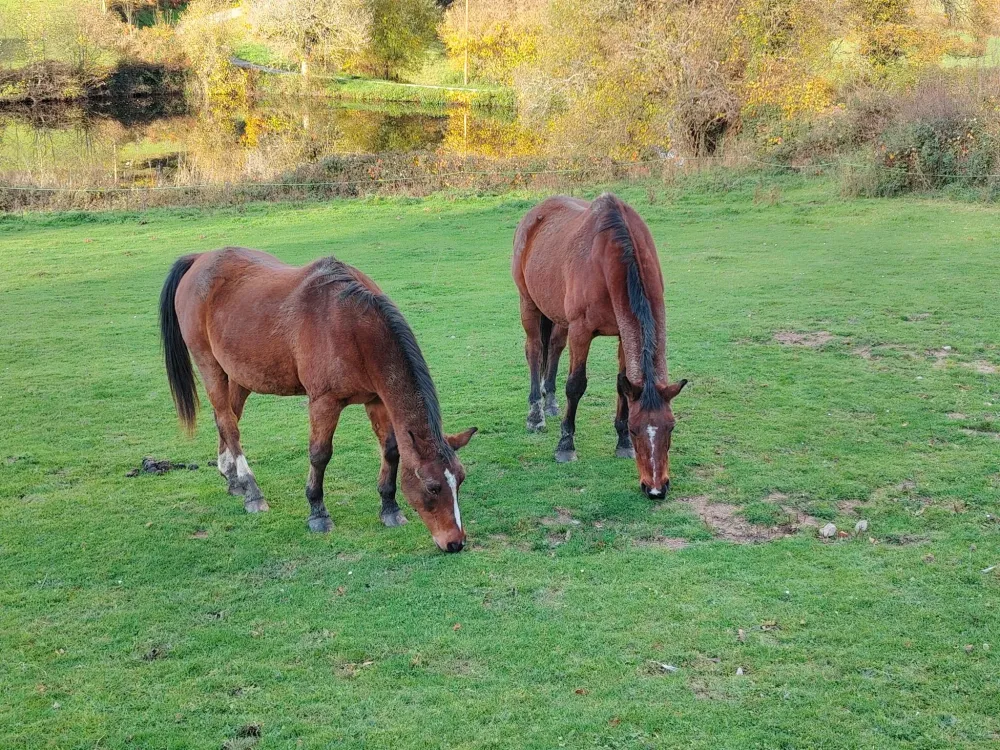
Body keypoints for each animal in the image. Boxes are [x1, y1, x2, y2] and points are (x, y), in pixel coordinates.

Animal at [159, 248, 477, 552]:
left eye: (460, 479)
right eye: (433, 487)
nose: (455, 543)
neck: (352, 325)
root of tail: (199, 258)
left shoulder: (377, 400)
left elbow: (390, 451)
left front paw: (389, 509)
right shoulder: (324, 402)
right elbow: (319, 454)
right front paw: (318, 513)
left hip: (239, 376)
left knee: (226, 419)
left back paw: (233, 478)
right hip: (210, 366)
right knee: (229, 424)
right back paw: (252, 491)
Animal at [511, 193, 687, 499]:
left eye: (672, 428)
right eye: (636, 429)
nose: (656, 489)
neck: (610, 257)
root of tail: (534, 213)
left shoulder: (622, 334)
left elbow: (622, 384)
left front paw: (622, 445)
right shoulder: (581, 331)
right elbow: (576, 385)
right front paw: (566, 445)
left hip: (557, 314)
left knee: (554, 347)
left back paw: (551, 402)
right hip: (529, 303)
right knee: (534, 350)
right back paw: (536, 415)